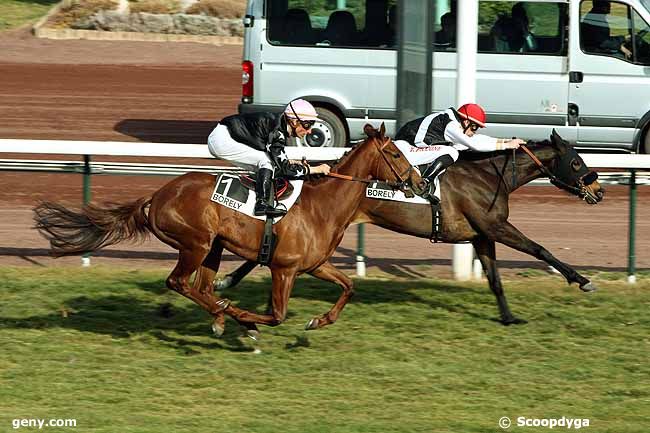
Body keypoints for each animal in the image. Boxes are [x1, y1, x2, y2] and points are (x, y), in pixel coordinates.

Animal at [35, 123, 422, 336]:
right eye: (396, 154)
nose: (418, 181)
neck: (323, 205)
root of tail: (156, 196)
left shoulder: (314, 265)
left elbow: (349, 287)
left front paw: (319, 320)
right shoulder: (284, 268)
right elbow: (277, 315)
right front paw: (245, 319)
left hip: (214, 246)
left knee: (201, 287)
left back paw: (220, 313)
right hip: (195, 243)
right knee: (179, 283)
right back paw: (226, 314)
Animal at [214, 130, 604, 326]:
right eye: (576, 162)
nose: (598, 190)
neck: (491, 176)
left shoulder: (480, 235)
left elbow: (495, 278)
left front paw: (508, 317)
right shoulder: (495, 226)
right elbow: (540, 249)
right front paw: (582, 280)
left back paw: (227, 281)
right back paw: (226, 282)